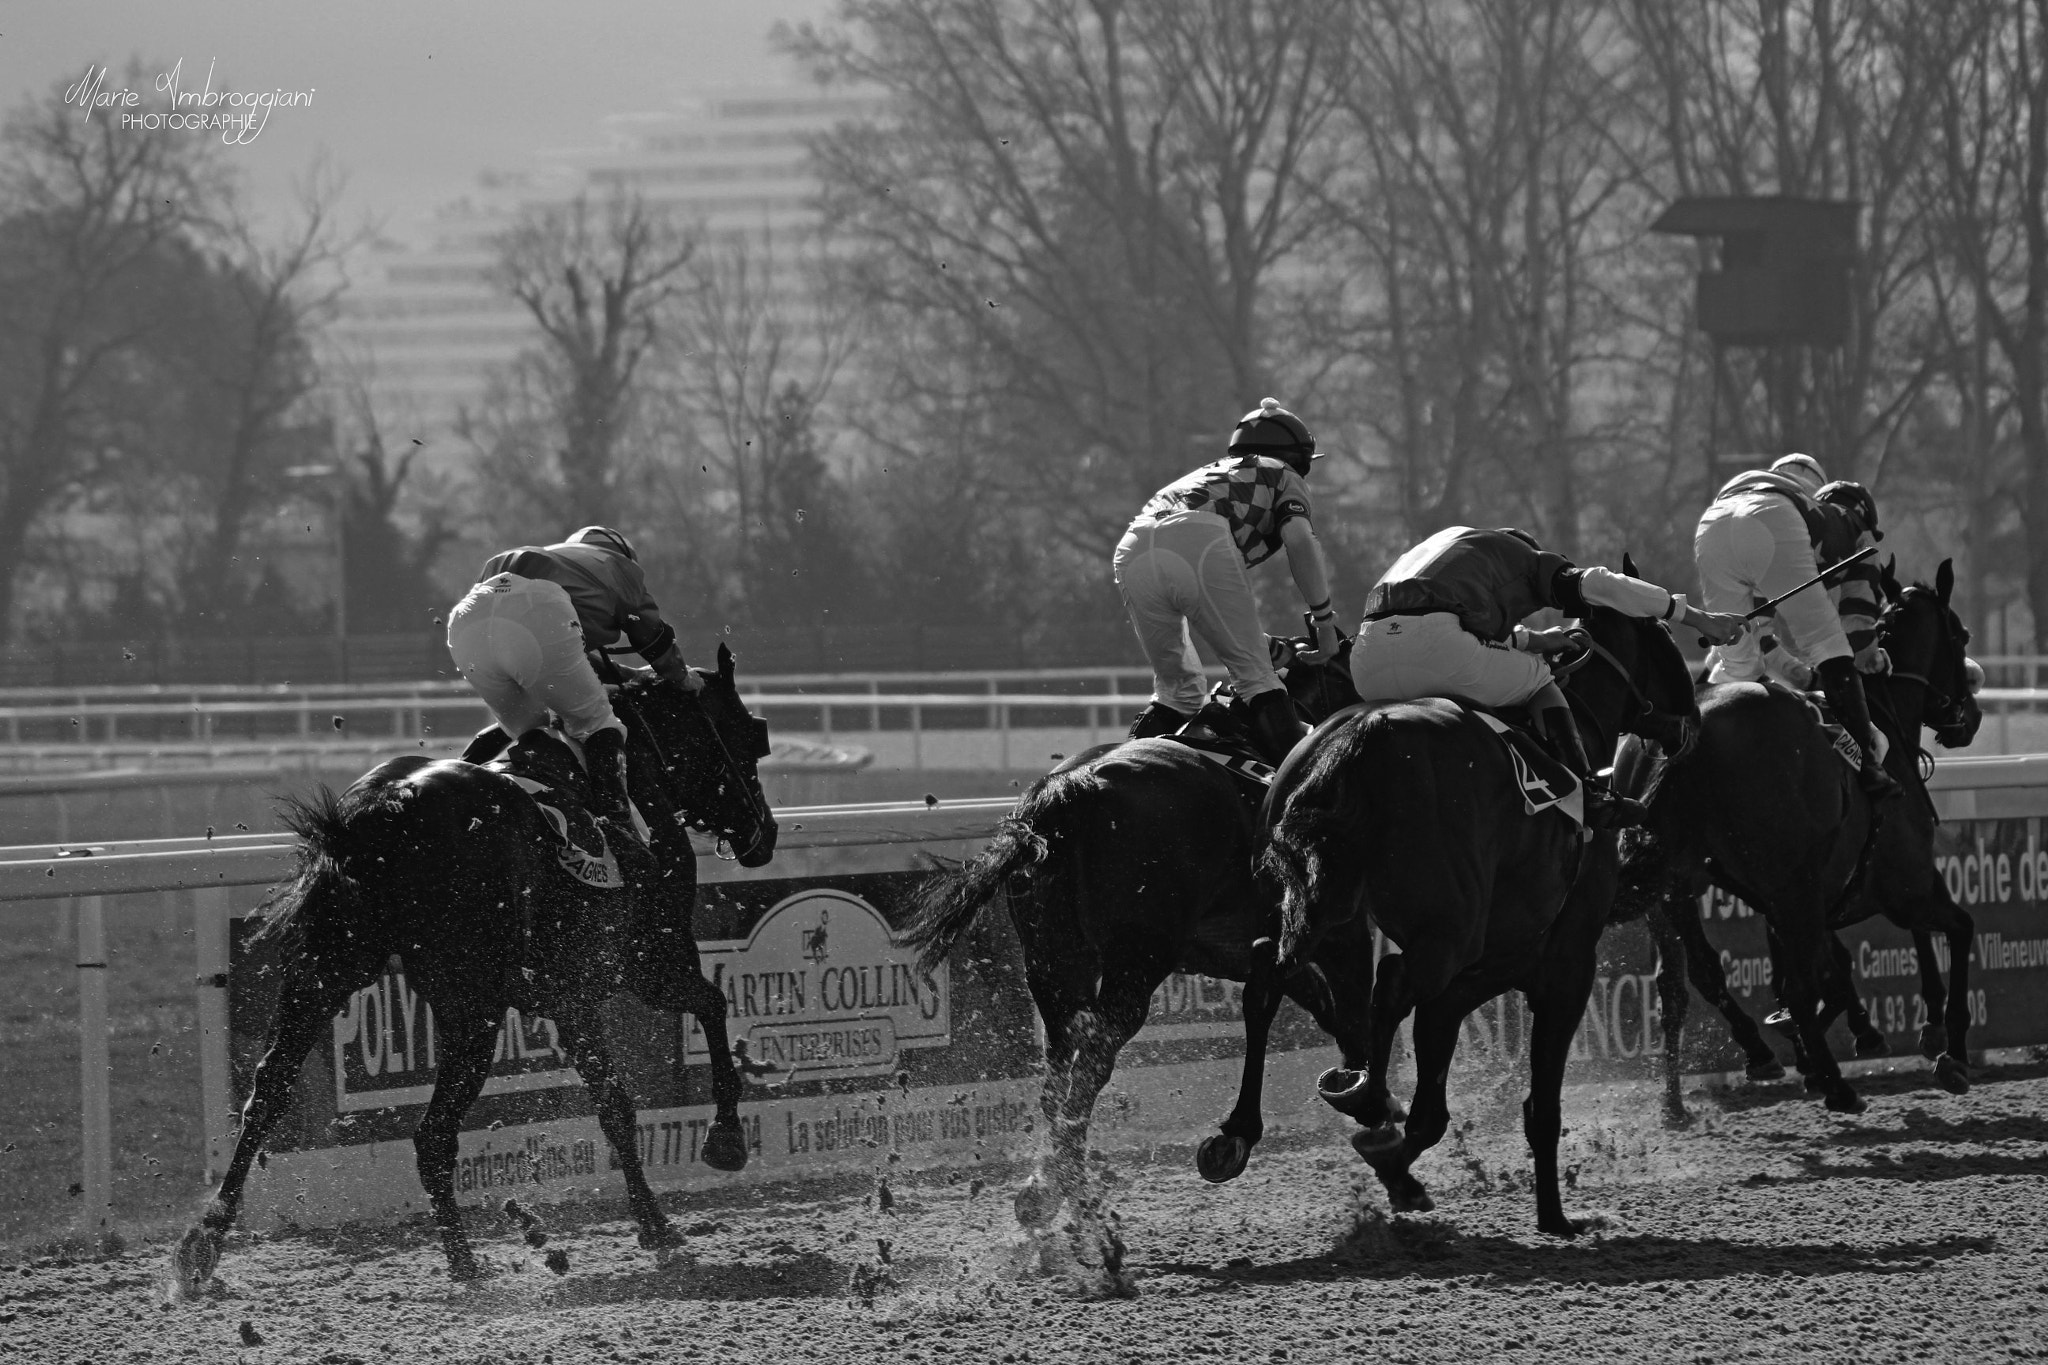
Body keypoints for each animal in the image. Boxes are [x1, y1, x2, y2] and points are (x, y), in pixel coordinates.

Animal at [165, 646, 774, 1285]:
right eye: (751, 735)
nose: (765, 835)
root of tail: (378, 814)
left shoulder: (570, 1000)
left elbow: (615, 1101)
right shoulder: (642, 967)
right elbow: (700, 1016)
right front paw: (711, 1157)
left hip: (323, 973)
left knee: (269, 1091)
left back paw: (204, 1244)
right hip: (472, 1007)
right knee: (432, 1135)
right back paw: (464, 1262)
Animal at [901, 646, 1368, 1219]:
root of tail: (1070, 793)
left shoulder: (1247, 951)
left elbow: (1321, 1005)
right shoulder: (1300, 939)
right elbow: (1320, 1005)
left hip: (1052, 959)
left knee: (1061, 1059)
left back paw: (1050, 1184)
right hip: (1135, 965)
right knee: (1094, 1056)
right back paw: (1060, 1186)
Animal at [1261, 589, 1695, 1236]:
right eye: (1664, 640)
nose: (1690, 719)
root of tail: (1361, 736)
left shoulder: (1485, 968)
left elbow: (1431, 1109)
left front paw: (1399, 1171)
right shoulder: (1565, 961)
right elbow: (1540, 1105)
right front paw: (1554, 1217)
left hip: (1331, 917)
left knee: (1291, 977)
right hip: (1446, 934)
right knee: (1390, 984)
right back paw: (1366, 1095)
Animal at [1622, 560, 1974, 1129]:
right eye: (1960, 636)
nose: (1970, 718)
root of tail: (1694, 726)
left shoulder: (1795, 903)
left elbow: (1828, 972)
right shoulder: (1906, 887)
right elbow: (1959, 930)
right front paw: (1949, 1048)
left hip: (1675, 883)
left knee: (1695, 976)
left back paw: (1726, 1075)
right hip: (1792, 887)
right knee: (1795, 984)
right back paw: (1837, 1086)